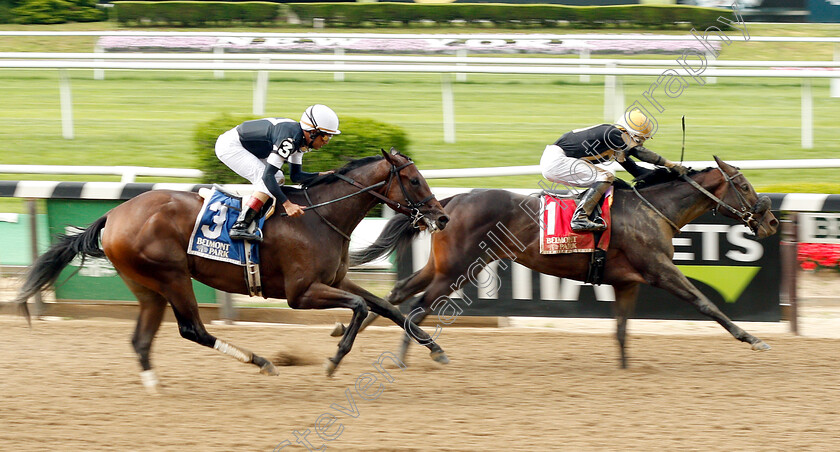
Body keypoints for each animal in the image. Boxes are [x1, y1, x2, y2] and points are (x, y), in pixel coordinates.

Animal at [11, 148, 452, 392]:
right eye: (414, 180)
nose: (442, 217)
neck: (319, 216)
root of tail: (115, 213)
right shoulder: (300, 294)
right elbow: (360, 309)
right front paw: (334, 358)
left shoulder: (336, 280)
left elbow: (386, 307)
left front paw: (435, 348)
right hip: (172, 277)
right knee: (192, 329)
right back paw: (261, 361)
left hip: (147, 287)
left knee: (141, 340)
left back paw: (154, 385)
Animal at [338, 157, 776, 370]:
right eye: (744, 185)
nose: (771, 220)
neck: (655, 210)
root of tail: (450, 200)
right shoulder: (659, 270)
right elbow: (706, 304)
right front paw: (752, 339)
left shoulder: (626, 282)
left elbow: (621, 329)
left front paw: (625, 367)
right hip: (458, 269)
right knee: (417, 308)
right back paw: (415, 354)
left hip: (443, 266)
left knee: (397, 294)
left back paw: (351, 332)